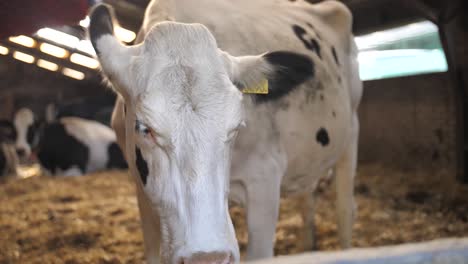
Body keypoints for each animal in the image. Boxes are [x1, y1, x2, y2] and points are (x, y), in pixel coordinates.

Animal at [89, 0, 364, 262]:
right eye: (144, 128)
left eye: (237, 126)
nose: (207, 258)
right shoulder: (143, 192)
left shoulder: (264, 181)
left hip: (351, 131)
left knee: (345, 210)